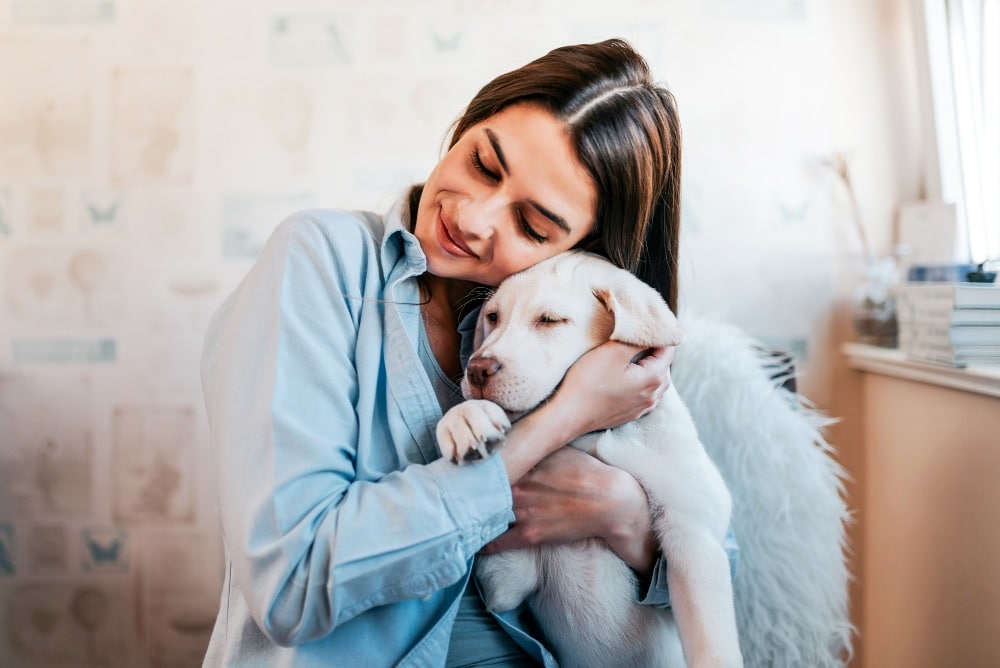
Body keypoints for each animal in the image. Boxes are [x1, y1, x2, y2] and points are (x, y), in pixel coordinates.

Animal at [438, 250, 744, 668]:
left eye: (550, 320)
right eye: (494, 317)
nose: (477, 370)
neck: (594, 434)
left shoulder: (694, 535)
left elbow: (712, 646)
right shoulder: (505, 581)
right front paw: (466, 418)